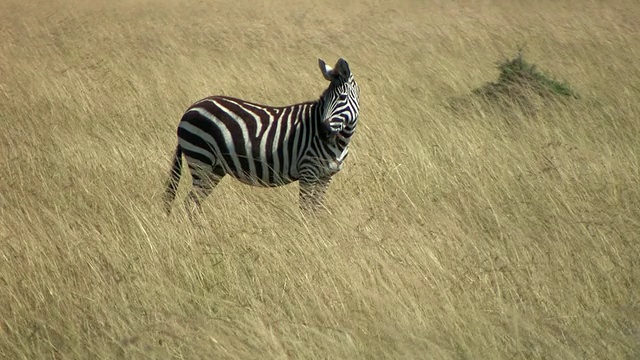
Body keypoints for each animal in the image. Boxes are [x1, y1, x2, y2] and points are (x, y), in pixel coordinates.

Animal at [165, 58, 360, 217]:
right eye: (325, 99)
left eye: (342, 97)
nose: (323, 130)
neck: (340, 142)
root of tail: (190, 109)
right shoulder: (308, 171)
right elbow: (306, 210)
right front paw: (308, 233)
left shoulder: (325, 176)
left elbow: (317, 211)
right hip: (201, 159)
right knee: (190, 203)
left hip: (215, 168)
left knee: (193, 202)